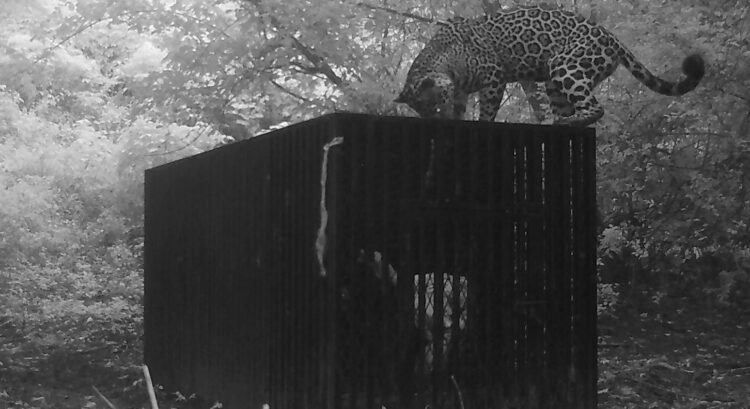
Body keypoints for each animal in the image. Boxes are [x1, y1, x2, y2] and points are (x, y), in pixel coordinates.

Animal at [395, 4, 705, 126]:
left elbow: (488, 110)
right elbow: (460, 109)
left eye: (435, 105)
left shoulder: (494, 76)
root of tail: (613, 38)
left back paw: (569, 121)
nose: (439, 119)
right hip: (553, 83)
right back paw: (559, 121)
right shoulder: (460, 92)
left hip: (564, 64)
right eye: (425, 113)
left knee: (595, 108)